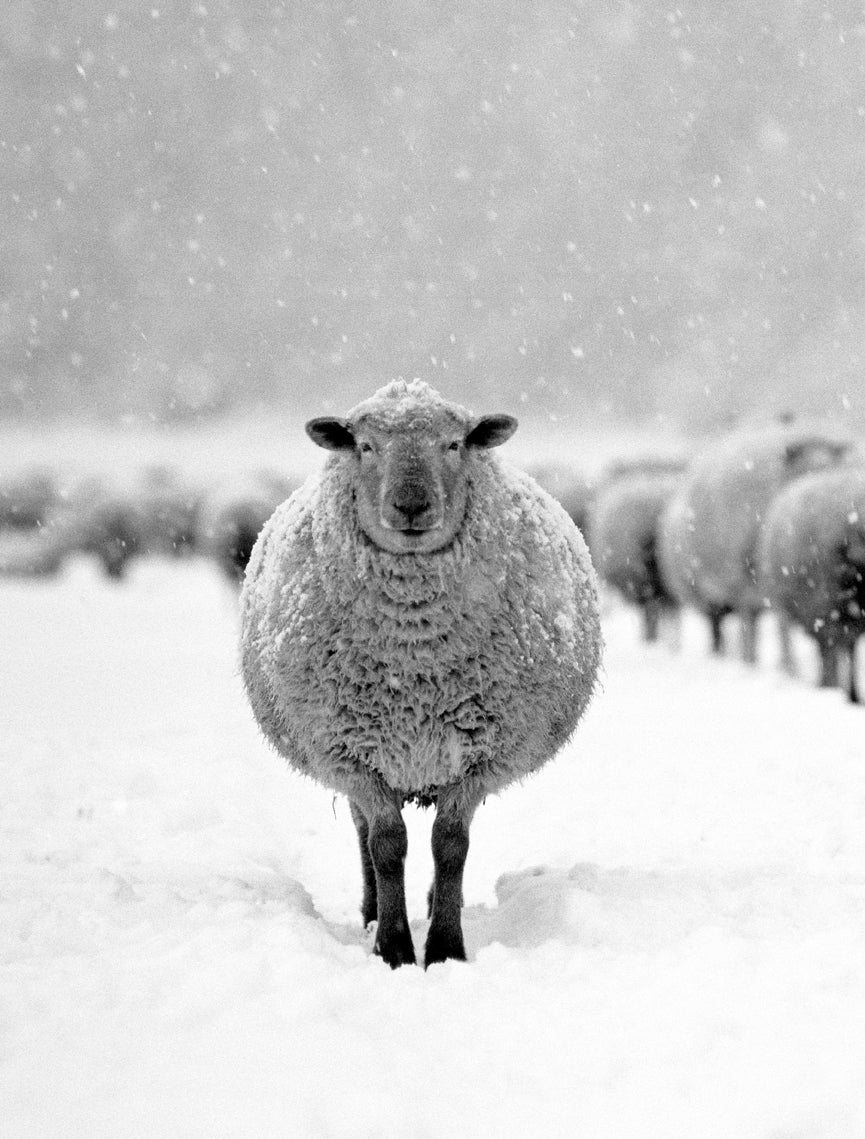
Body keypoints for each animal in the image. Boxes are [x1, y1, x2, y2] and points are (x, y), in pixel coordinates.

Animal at [238, 382, 601, 970]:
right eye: (365, 446)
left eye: (454, 444)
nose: (411, 505)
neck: (416, 657)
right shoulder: (355, 751)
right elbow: (386, 846)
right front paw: (393, 947)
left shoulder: (477, 751)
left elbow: (450, 846)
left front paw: (446, 946)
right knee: (363, 833)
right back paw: (372, 912)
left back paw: (429, 906)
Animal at [656, 423, 852, 660]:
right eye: (808, 468)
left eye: (836, 465)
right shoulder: (747, 588)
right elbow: (762, 632)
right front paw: (765, 662)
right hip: (708, 592)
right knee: (719, 627)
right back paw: (723, 654)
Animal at [756, 464, 865, 697]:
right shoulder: (824, 608)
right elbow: (832, 649)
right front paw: (833, 688)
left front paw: (851, 694)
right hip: (804, 604)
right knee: (823, 646)